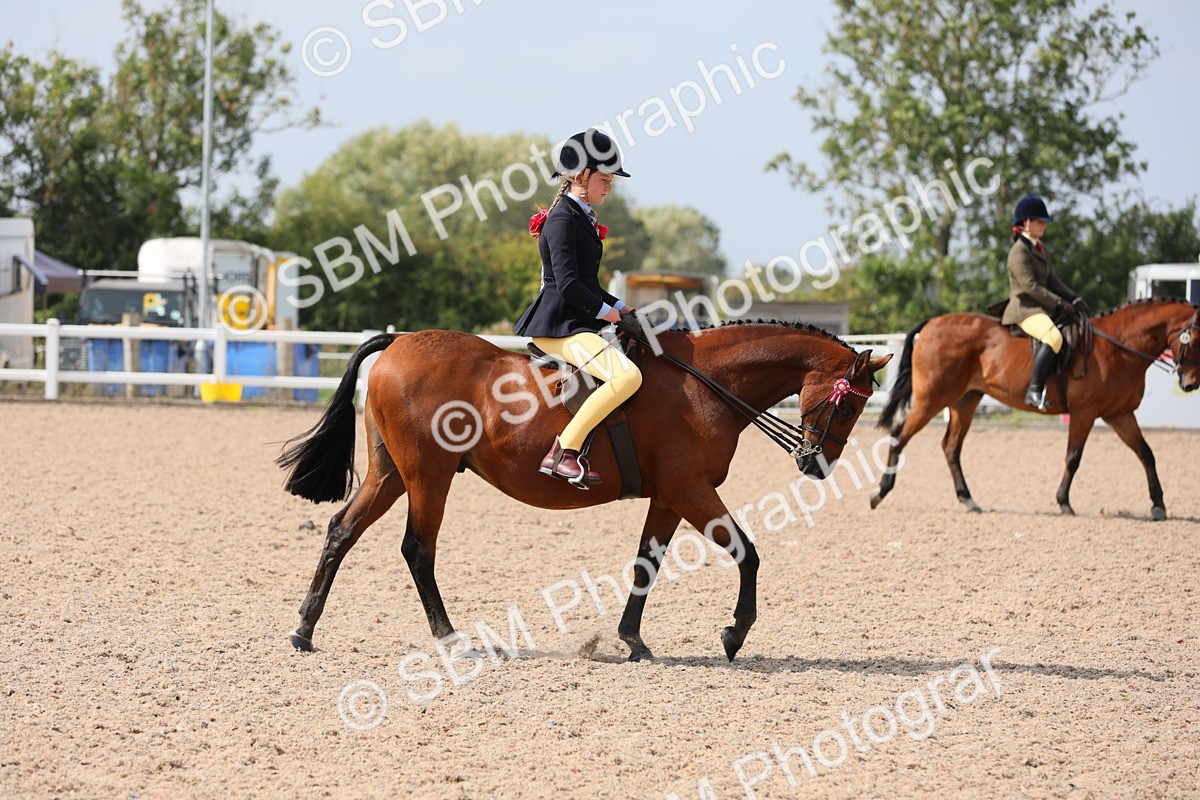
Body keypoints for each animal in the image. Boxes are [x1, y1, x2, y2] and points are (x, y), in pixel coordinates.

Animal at [276, 321, 892, 662]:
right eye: (847, 404)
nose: (818, 465)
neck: (707, 384)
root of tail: (400, 343)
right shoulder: (692, 491)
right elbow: (748, 552)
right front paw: (734, 634)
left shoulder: (669, 497)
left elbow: (646, 564)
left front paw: (631, 640)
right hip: (429, 475)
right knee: (417, 549)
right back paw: (450, 638)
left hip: (390, 475)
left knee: (342, 531)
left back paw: (304, 630)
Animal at [870, 298, 1200, 519]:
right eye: (1195, 339)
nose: (1190, 384)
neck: (1119, 347)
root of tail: (931, 324)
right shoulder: (1085, 412)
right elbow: (1073, 457)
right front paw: (1064, 502)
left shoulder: (1119, 414)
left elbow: (1146, 454)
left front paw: (1158, 505)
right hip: (932, 399)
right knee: (900, 433)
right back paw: (880, 492)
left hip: (965, 400)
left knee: (951, 447)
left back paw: (968, 500)